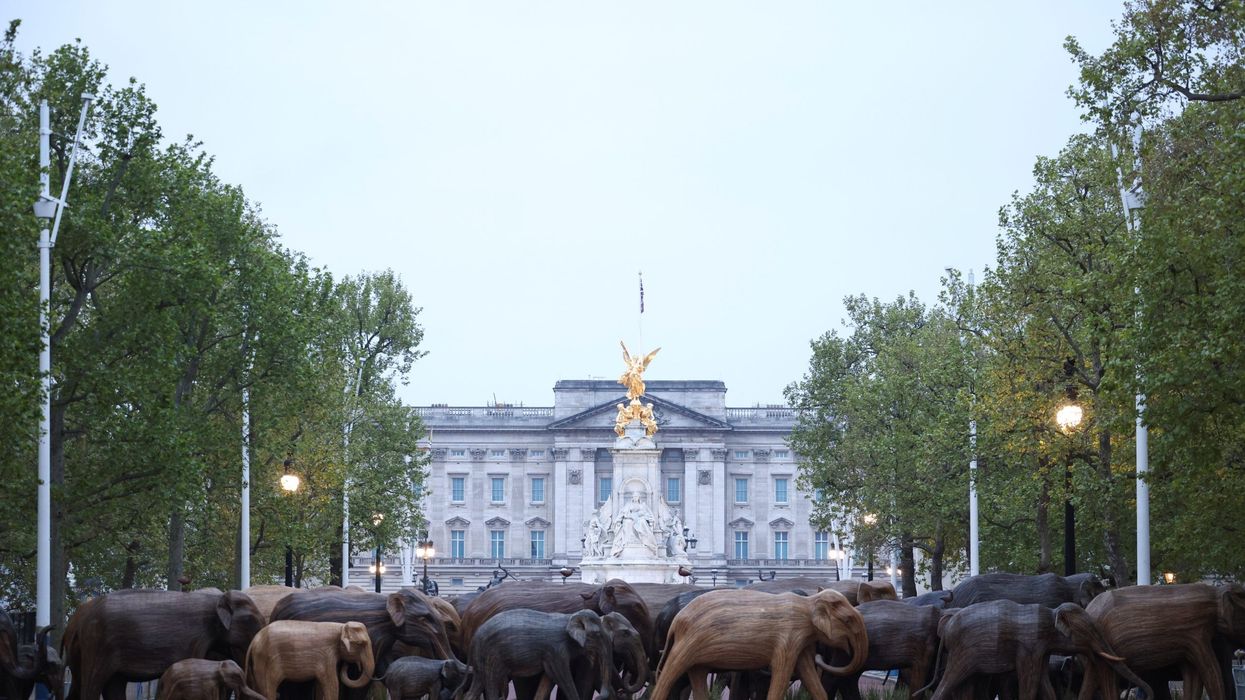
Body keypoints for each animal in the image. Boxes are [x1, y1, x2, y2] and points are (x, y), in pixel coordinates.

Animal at [63, 589, 265, 700]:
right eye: (252, 620)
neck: (214, 599)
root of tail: (78, 622)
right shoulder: (193, 638)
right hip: (98, 643)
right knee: (92, 683)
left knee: (108, 684)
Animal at [245, 621, 374, 700]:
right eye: (360, 644)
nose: (347, 664)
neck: (340, 627)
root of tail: (254, 639)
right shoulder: (326, 655)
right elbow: (331, 683)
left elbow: (321, 684)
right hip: (264, 661)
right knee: (268, 689)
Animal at [462, 609, 617, 700]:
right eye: (597, 634)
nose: (597, 697)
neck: (569, 618)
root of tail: (474, 637)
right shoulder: (556, 649)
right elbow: (562, 677)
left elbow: (549, 678)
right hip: (491, 655)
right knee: (491, 684)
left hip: (482, 657)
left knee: (477, 684)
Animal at [652, 588, 868, 700]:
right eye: (848, 620)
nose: (821, 655)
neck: (808, 601)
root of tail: (676, 621)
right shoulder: (788, 636)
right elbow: (782, 672)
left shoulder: (802, 640)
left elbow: (808, 673)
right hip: (686, 644)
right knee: (671, 673)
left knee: (696, 675)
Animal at [926, 600, 1150, 700]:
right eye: (1088, 631)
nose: (1144, 695)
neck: (1052, 614)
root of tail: (946, 629)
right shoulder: (1029, 645)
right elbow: (1031, 680)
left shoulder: (1042, 650)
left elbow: (1043, 680)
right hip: (961, 652)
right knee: (951, 679)